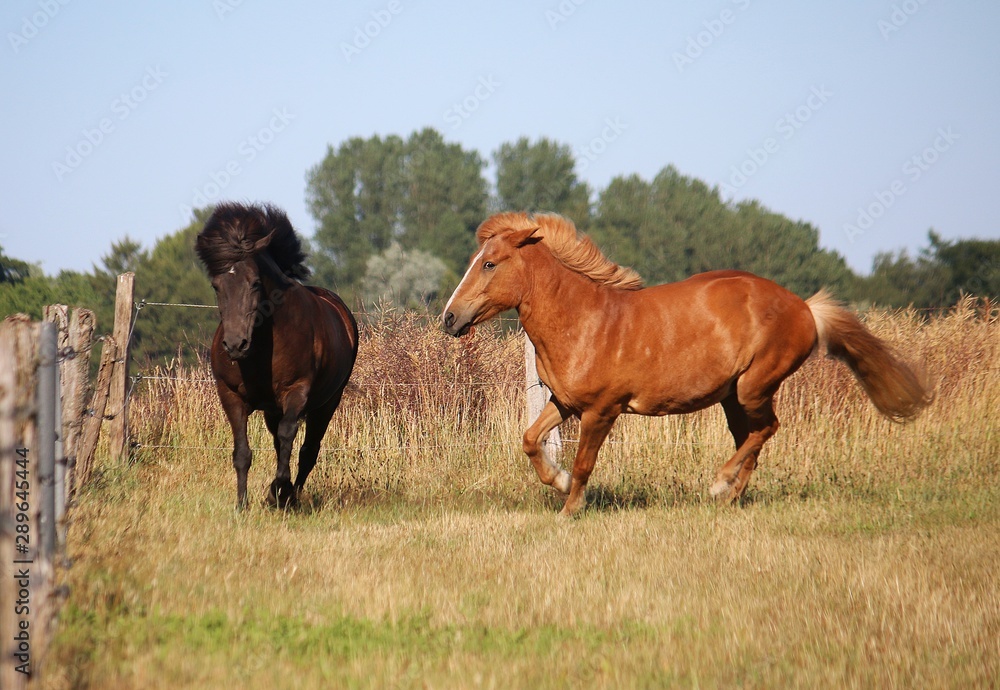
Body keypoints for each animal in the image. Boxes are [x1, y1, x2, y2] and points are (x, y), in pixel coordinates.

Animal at [196, 202, 358, 509]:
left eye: (255, 283)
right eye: (215, 285)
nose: (235, 344)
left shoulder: (296, 391)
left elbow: (288, 437)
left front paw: (277, 492)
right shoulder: (230, 394)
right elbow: (243, 452)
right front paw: (241, 505)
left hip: (328, 402)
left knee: (308, 451)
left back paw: (291, 497)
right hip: (273, 409)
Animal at [442, 212, 932, 516]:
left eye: (489, 264)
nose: (449, 318)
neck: (584, 321)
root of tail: (805, 308)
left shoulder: (601, 411)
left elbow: (584, 463)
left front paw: (569, 508)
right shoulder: (564, 403)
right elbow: (529, 440)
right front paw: (558, 483)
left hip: (754, 386)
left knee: (767, 429)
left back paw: (719, 484)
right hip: (733, 397)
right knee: (752, 437)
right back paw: (730, 498)